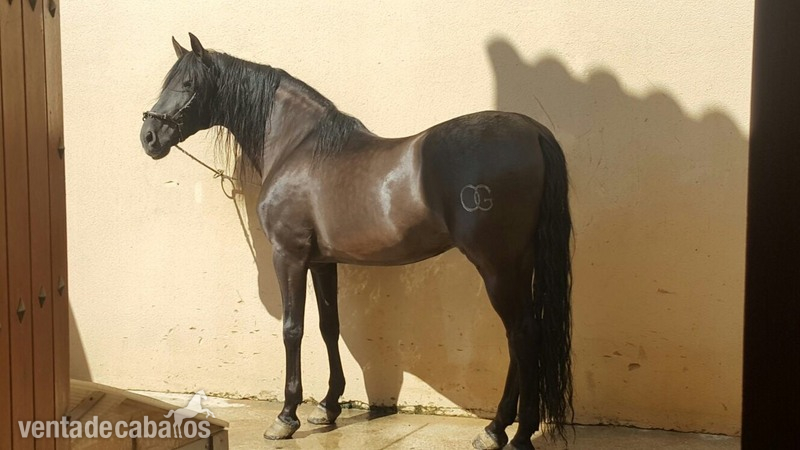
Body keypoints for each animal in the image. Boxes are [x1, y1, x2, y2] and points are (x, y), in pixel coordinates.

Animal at [141, 33, 573, 450]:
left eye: (188, 83)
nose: (148, 136)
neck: (298, 148)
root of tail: (533, 132)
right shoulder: (321, 261)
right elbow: (328, 326)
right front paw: (327, 408)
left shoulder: (289, 256)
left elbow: (293, 329)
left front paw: (286, 417)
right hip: (518, 265)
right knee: (520, 336)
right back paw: (495, 430)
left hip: (497, 265)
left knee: (522, 334)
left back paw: (518, 434)